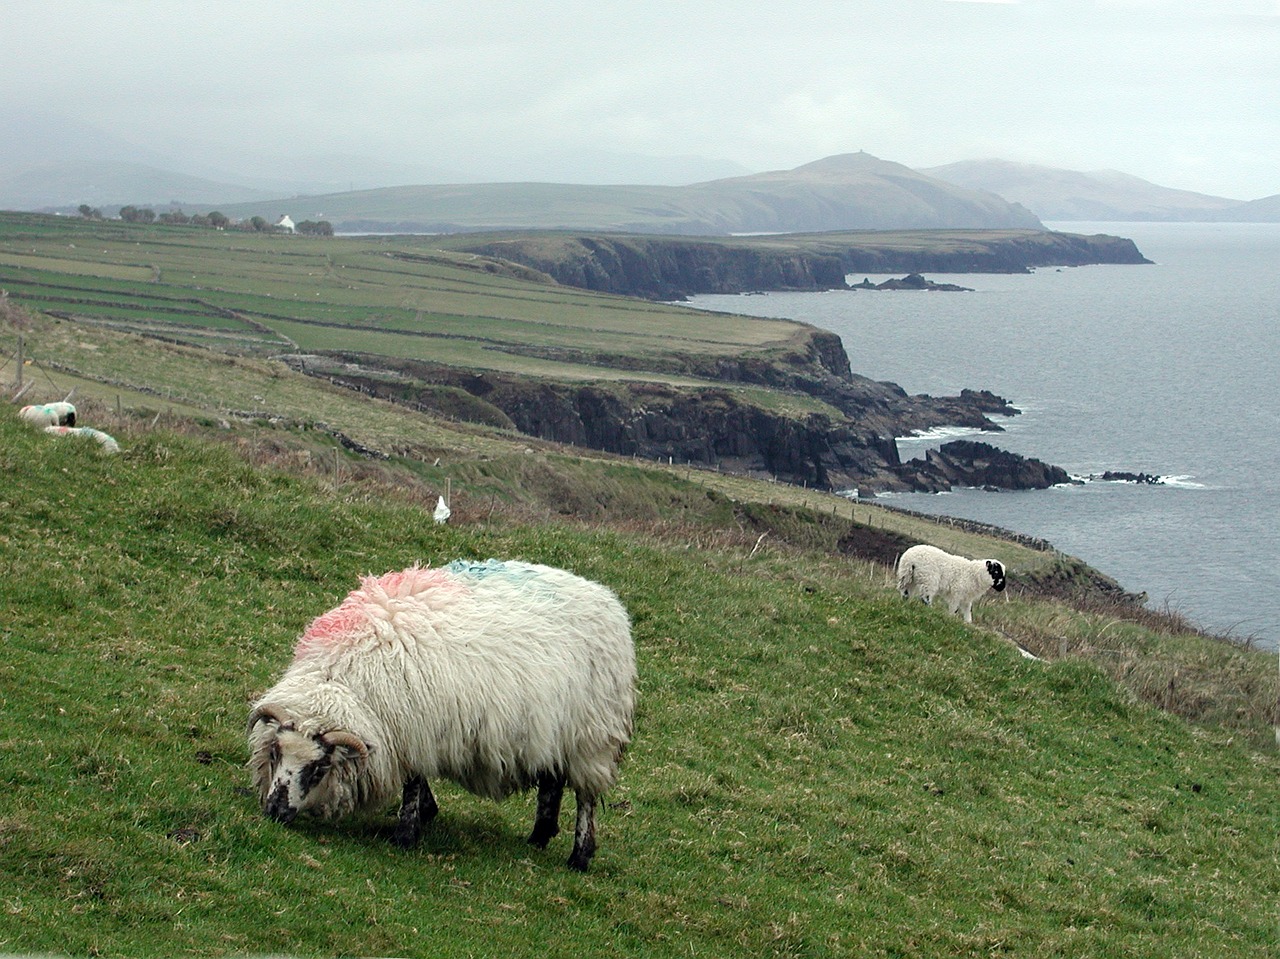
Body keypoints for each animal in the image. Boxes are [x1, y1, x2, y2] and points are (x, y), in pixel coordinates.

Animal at [245, 558, 634, 870]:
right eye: (275, 753)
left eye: (320, 767)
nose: (275, 812)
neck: (344, 675)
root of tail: (605, 597)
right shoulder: (408, 731)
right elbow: (417, 779)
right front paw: (427, 813)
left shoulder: (416, 726)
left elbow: (413, 783)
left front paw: (406, 834)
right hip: (554, 729)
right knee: (552, 782)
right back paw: (539, 837)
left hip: (593, 733)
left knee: (585, 798)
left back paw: (579, 856)